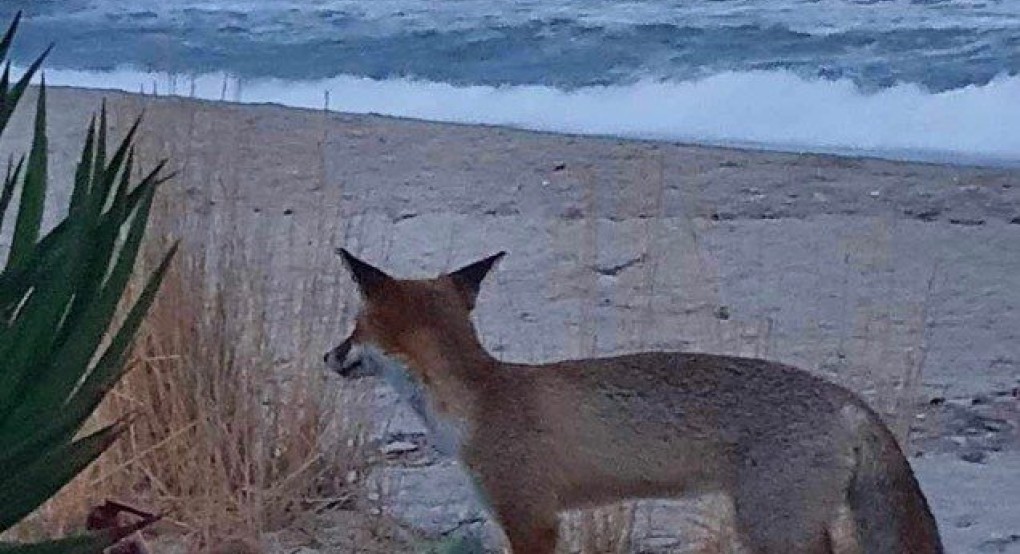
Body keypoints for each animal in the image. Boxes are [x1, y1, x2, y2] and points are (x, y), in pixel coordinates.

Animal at [322, 250, 942, 554]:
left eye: (352, 327)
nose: (327, 356)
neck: (481, 400)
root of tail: (845, 397)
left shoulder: (531, 519)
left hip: (773, 530)